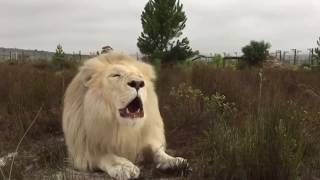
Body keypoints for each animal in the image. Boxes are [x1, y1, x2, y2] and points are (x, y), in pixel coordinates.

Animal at [62, 51, 188, 179]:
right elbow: (105, 154)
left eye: (140, 77)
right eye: (116, 75)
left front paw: (174, 161)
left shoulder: (144, 139)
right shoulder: (83, 149)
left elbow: (157, 150)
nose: (137, 83)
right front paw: (124, 167)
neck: (124, 127)